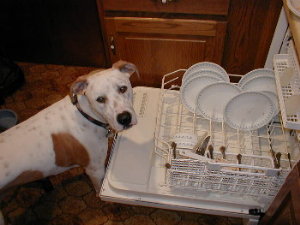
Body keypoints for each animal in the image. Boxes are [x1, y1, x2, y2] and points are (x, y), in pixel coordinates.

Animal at [0, 60, 138, 224]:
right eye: (100, 99)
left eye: (123, 88)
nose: (125, 118)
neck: (86, 116)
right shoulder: (95, 169)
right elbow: (99, 191)